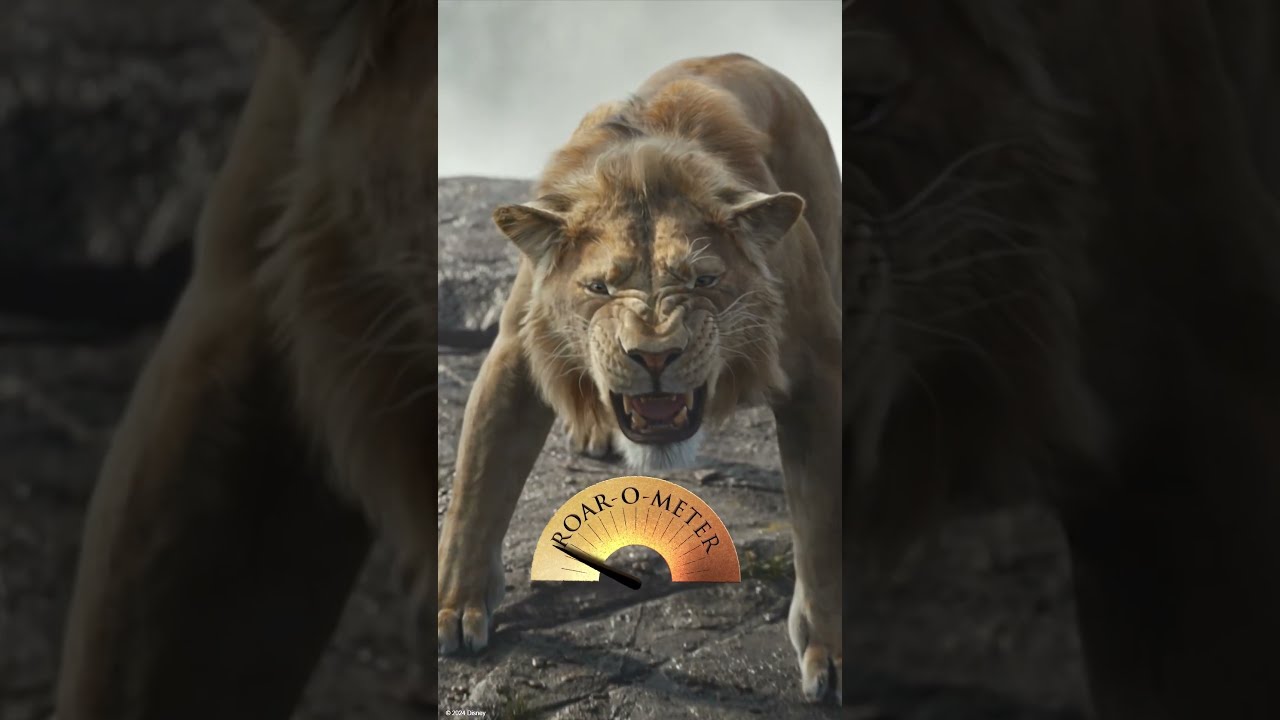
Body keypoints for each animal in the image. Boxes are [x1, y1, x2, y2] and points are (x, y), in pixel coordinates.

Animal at [435, 54, 844, 704]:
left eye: (704, 280)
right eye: (600, 287)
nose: (654, 356)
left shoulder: (817, 369)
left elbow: (822, 525)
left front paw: (830, 651)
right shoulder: (516, 354)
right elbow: (476, 489)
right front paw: (456, 609)